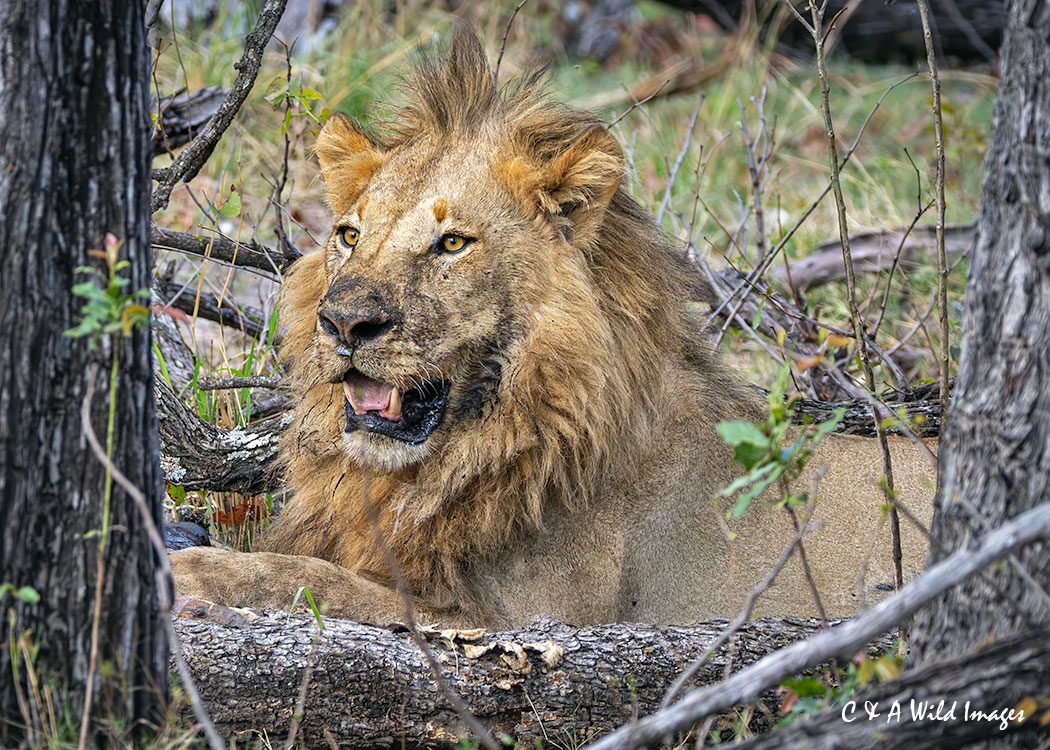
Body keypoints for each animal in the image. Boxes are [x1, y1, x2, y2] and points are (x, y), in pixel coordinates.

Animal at [172, 29, 936, 628]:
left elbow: (319, 581)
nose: (342, 322)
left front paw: (193, 572)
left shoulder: (519, 617)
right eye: (350, 235)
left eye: (453, 243)